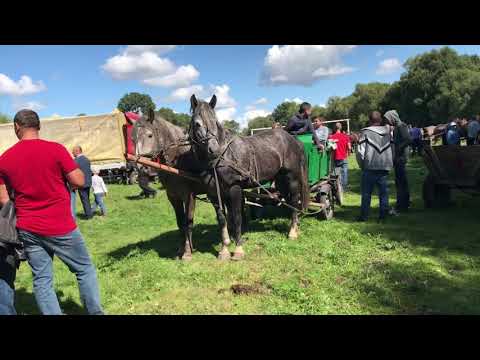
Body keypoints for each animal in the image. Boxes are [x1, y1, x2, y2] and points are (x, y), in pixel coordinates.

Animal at [132, 108, 233, 260]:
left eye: (150, 135)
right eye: (132, 139)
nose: (142, 168)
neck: (178, 159)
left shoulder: (188, 196)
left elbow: (188, 222)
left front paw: (187, 252)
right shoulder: (173, 197)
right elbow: (180, 223)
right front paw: (181, 249)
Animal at [188, 94, 308, 260]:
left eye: (215, 121)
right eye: (197, 124)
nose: (214, 149)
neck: (224, 156)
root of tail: (294, 140)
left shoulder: (235, 189)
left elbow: (237, 217)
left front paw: (238, 249)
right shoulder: (214, 194)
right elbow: (223, 219)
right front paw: (224, 249)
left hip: (292, 179)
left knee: (295, 201)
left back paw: (292, 232)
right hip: (281, 181)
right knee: (289, 200)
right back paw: (296, 228)